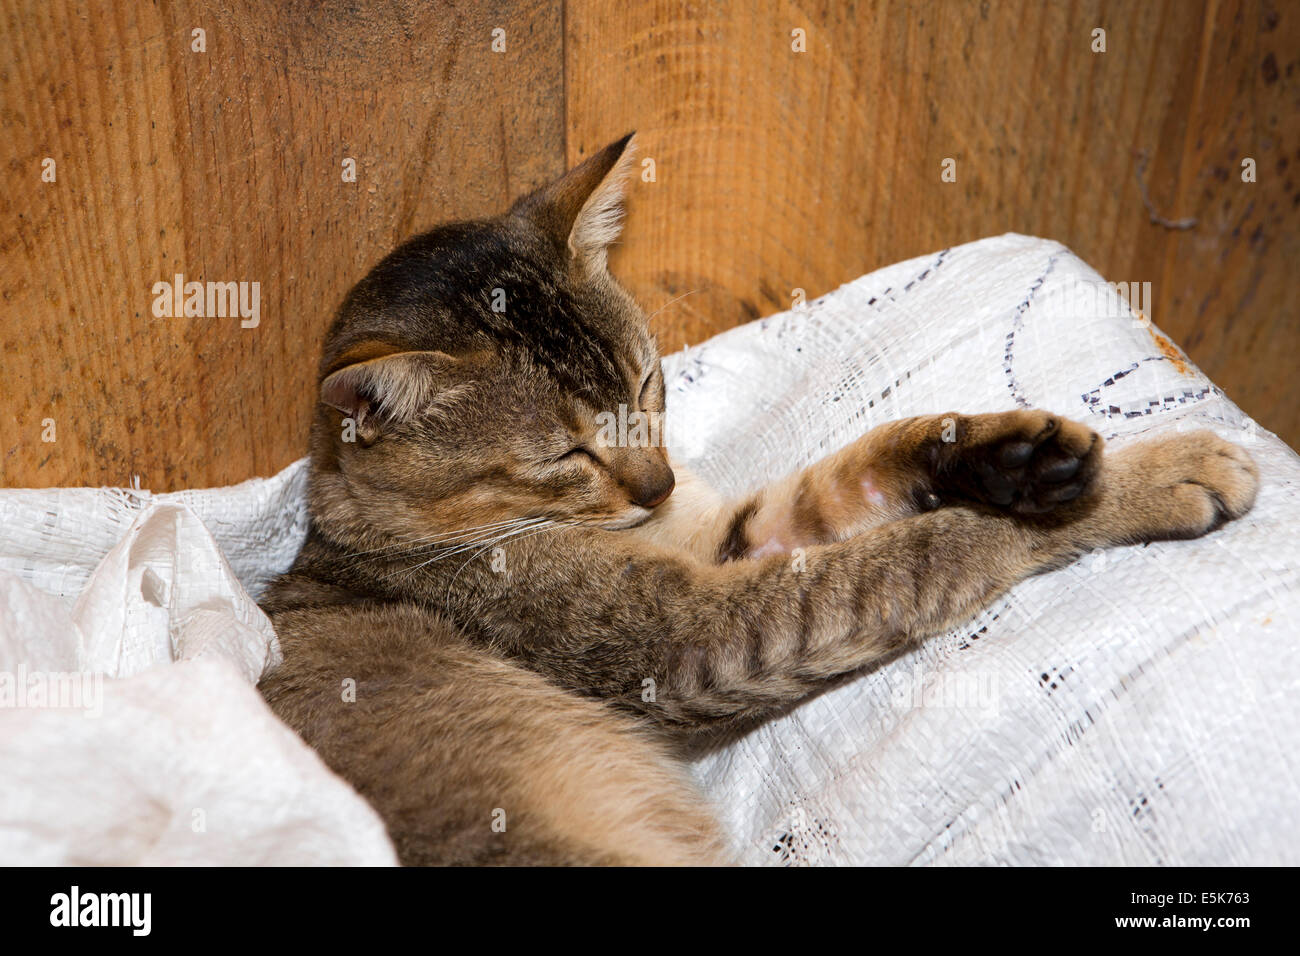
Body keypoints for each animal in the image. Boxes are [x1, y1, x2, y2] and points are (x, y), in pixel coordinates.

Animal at [256, 134, 1258, 868]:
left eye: (647, 380)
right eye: (565, 453)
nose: (656, 483)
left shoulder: (729, 538)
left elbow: (860, 467)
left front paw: (1010, 454)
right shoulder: (696, 633)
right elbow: (935, 549)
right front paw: (1150, 475)